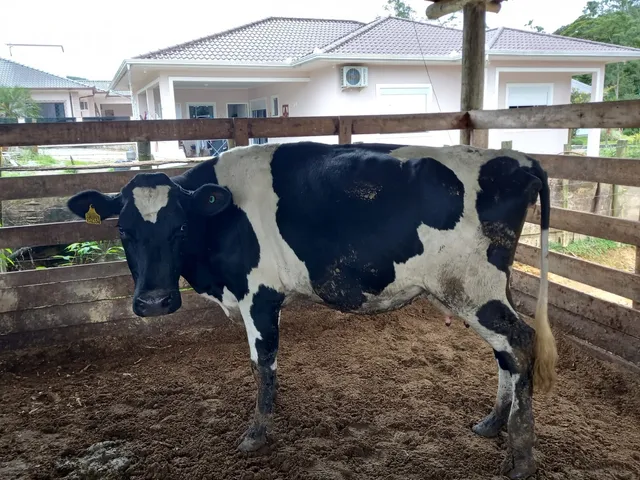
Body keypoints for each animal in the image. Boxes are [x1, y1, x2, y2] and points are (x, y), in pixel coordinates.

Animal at [67, 142, 557, 479]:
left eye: (180, 228)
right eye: (124, 231)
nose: (153, 302)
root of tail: (519, 160)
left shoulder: (259, 293)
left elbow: (262, 363)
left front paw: (256, 433)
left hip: (473, 288)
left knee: (520, 342)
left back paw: (520, 455)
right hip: (478, 291)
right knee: (506, 354)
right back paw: (492, 423)